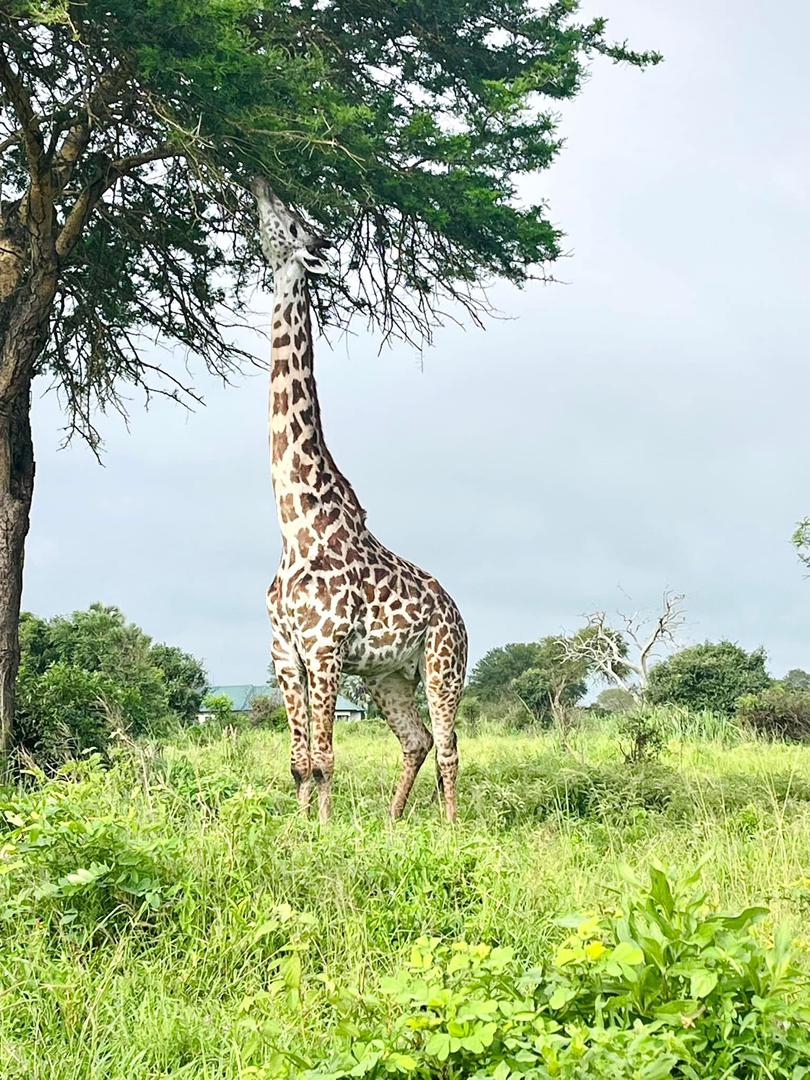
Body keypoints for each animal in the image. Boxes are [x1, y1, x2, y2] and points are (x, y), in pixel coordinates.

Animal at [252, 177, 468, 824]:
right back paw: (393, 824)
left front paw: (323, 830)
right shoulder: (285, 652)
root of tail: (461, 614)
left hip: (442, 665)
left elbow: (325, 758)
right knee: (418, 740)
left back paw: (451, 829)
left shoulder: (323, 650)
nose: (260, 181)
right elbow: (298, 761)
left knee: (449, 744)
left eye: (294, 223)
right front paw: (301, 828)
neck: (295, 520)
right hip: (386, 675)